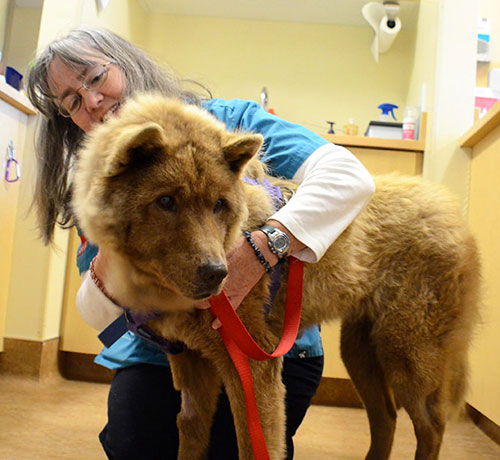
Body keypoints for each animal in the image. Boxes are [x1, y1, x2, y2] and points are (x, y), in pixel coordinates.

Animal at [73, 94, 480, 460]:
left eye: (219, 204)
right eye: (166, 201)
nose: (217, 274)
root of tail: (452, 212)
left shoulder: (254, 362)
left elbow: (254, 446)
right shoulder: (191, 363)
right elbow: (190, 433)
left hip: (407, 354)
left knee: (431, 424)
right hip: (360, 349)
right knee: (386, 417)